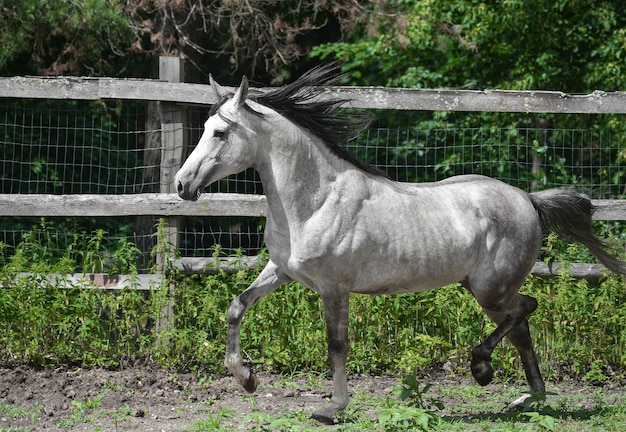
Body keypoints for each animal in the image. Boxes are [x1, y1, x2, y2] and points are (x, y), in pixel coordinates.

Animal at [172, 66, 624, 424]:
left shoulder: (334, 288)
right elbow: (236, 307)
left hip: (490, 289)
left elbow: (337, 345)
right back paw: (528, 398)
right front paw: (246, 378)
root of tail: (528, 199)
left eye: (220, 132)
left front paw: (332, 408)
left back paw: (483, 368)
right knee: (523, 327)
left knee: (526, 309)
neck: (316, 201)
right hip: (486, 290)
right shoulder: (281, 270)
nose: (181, 185)